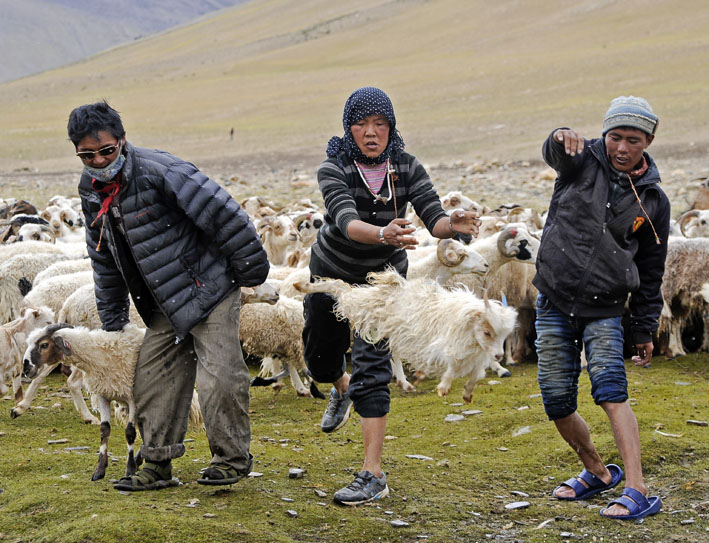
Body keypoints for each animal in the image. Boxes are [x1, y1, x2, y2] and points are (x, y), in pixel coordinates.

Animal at [294, 270, 516, 404]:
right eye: (487, 332)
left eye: (505, 334)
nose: (498, 355)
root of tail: (391, 287)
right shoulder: (442, 349)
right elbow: (452, 367)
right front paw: (443, 387)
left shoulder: (474, 357)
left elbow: (476, 374)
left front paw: (468, 393)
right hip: (361, 306)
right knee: (340, 288)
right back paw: (304, 286)